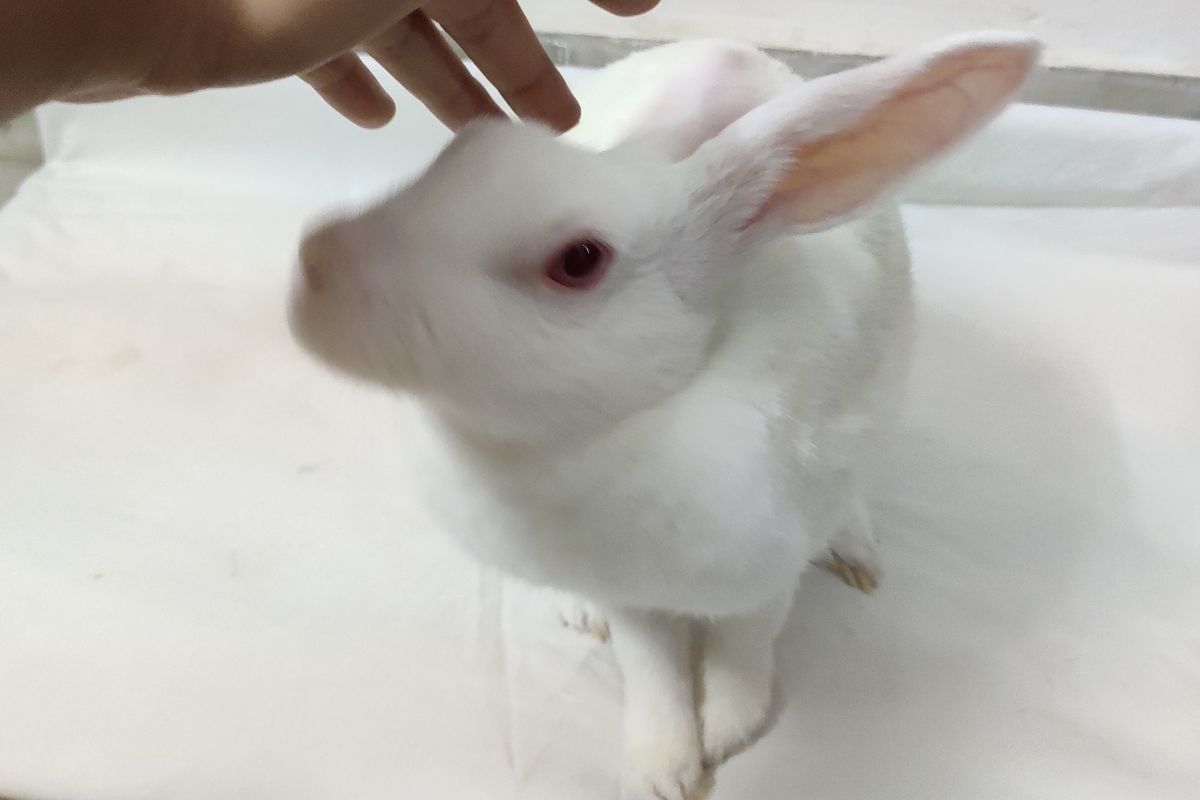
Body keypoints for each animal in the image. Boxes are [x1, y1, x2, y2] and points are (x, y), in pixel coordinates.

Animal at [289, 32, 1039, 800]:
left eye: (580, 259)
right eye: (464, 150)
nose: (314, 263)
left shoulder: (767, 571)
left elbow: (744, 645)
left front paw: (731, 727)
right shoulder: (631, 596)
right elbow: (649, 666)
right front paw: (663, 768)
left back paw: (856, 551)